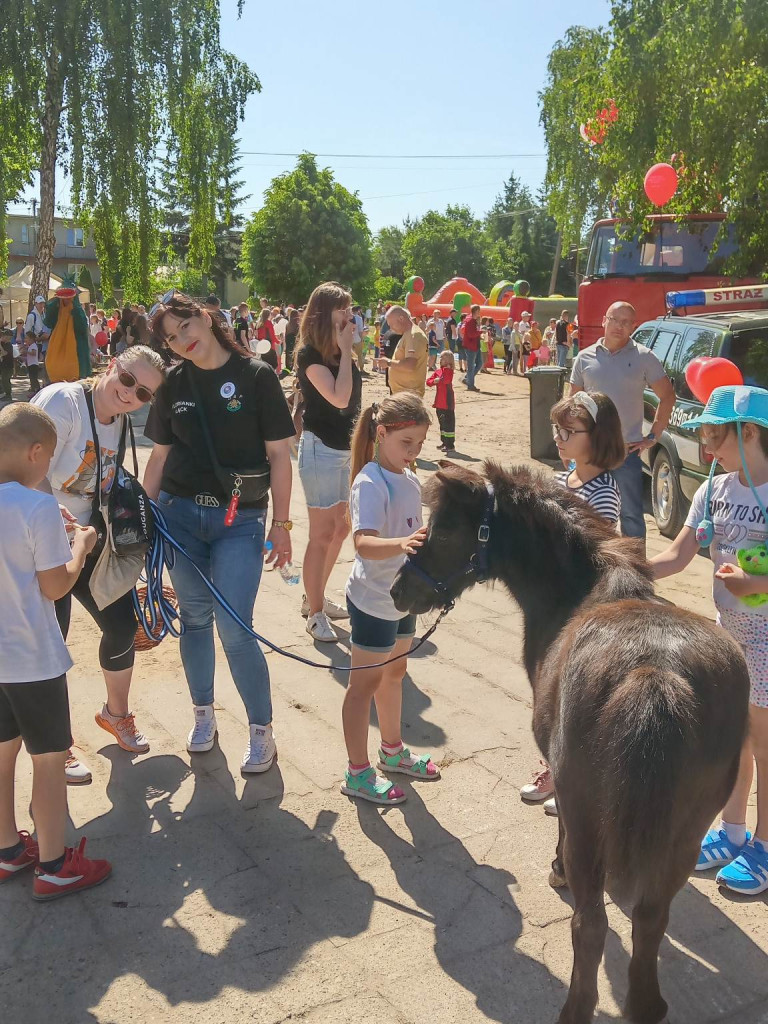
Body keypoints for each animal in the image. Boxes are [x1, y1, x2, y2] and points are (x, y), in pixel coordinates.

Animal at [391, 462, 753, 1024]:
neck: (583, 589)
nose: (398, 591)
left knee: (591, 924)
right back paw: (646, 1002)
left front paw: (556, 869)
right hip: (688, 828)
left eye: (447, 529)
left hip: (590, 817)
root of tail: (656, 672)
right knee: (651, 918)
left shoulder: (567, 788)